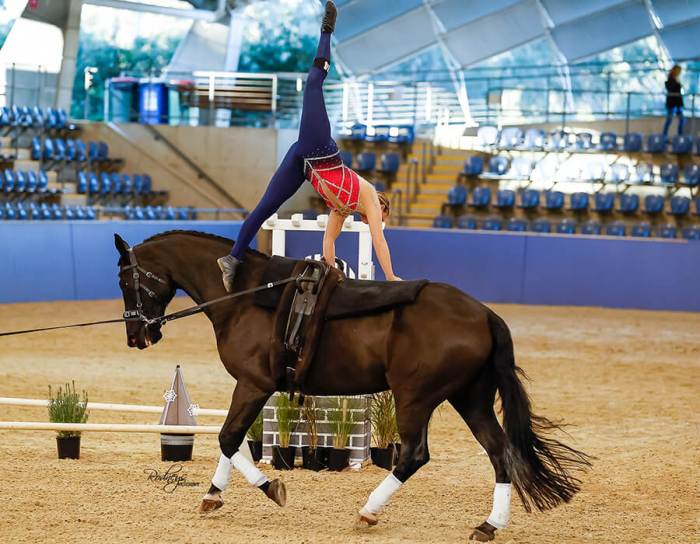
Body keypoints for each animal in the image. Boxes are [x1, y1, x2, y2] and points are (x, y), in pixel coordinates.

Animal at [115, 230, 592, 540]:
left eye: (124, 280)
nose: (136, 336)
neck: (243, 294)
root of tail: (483, 313)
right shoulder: (256, 388)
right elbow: (232, 441)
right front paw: (218, 494)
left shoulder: (253, 384)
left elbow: (229, 438)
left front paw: (263, 490)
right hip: (469, 399)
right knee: (499, 451)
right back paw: (490, 524)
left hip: (415, 398)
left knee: (414, 455)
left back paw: (367, 511)